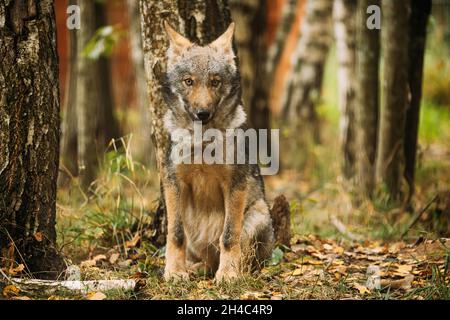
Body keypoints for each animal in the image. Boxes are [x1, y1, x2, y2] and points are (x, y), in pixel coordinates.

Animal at [162, 21, 274, 282]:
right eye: (189, 81)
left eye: (215, 82)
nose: (202, 113)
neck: (203, 142)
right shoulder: (173, 182)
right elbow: (175, 234)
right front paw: (174, 272)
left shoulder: (235, 184)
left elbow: (229, 237)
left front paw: (228, 275)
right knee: (204, 259)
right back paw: (193, 269)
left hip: (257, 216)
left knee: (242, 256)